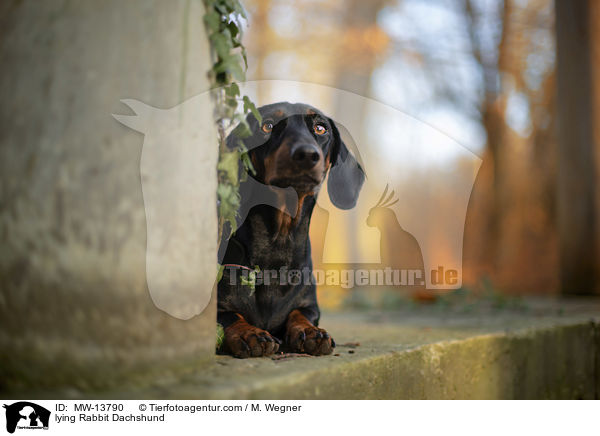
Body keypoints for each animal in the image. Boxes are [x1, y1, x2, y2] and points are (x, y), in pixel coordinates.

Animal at [218, 102, 364, 358]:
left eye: (320, 128)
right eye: (267, 125)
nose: (306, 155)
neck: (277, 243)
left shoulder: (310, 306)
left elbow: (299, 313)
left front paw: (311, 332)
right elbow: (230, 317)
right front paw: (250, 333)